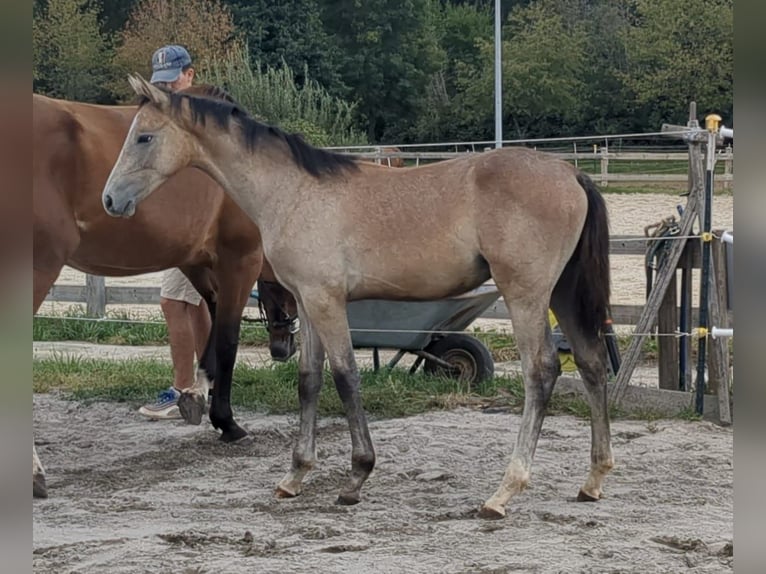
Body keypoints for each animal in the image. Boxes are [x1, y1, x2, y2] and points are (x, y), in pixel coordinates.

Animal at [32, 86, 298, 498]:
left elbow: (210, 334)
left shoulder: (196, 262)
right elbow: (227, 340)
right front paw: (227, 422)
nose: (284, 349)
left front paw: (196, 396)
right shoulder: (241, 260)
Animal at [101, 74, 614, 519]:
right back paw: (593, 480)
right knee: (590, 362)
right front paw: (295, 476)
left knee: (541, 372)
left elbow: (346, 377)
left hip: (525, 294)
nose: (110, 200)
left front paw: (356, 478)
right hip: (562, 293)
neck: (293, 192)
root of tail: (571, 173)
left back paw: (504, 491)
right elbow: (308, 380)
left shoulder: (327, 302)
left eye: (144, 137)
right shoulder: (308, 304)